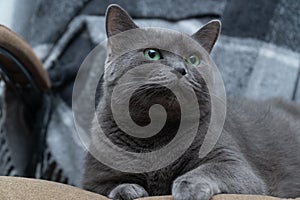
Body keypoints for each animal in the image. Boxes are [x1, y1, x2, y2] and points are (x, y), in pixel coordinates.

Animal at [82, 3, 300, 200]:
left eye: (192, 59)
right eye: (152, 54)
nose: (181, 69)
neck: (156, 132)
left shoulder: (234, 163)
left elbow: (213, 169)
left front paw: (189, 187)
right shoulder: (94, 178)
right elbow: (105, 186)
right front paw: (127, 190)